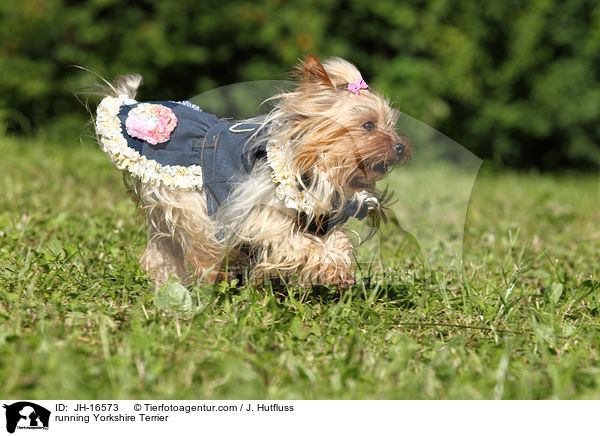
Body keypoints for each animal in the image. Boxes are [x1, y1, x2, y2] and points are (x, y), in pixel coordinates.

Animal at [92, 54, 412, 286]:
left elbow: (337, 241)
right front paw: (326, 268)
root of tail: (130, 107)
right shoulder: (262, 218)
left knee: (163, 247)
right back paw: (211, 275)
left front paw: (337, 271)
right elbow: (294, 244)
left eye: (392, 125)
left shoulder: (319, 218)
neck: (314, 171)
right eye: (368, 125)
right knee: (198, 239)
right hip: (185, 197)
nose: (401, 146)